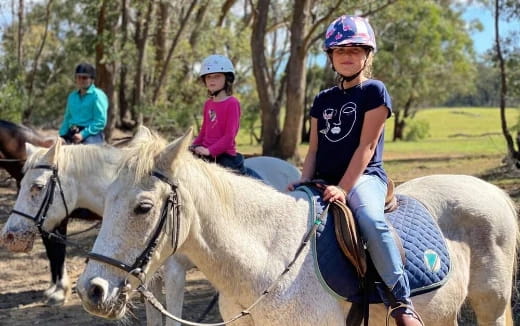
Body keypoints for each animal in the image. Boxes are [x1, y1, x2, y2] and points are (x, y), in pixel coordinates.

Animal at [77, 129, 520, 324]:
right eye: (106, 200)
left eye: (143, 207)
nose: (91, 290)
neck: (269, 262)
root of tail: (494, 193)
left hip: (491, 307)